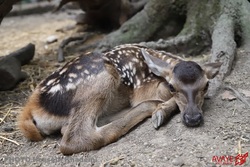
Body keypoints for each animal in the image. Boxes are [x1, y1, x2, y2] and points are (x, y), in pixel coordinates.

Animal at [17, 43, 221, 155]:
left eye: (206, 85)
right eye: (173, 87)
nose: (193, 118)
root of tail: (32, 106)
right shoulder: (142, 88)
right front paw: (160, 110)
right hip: (103, 76)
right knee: (74, 138)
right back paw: (150, 107)